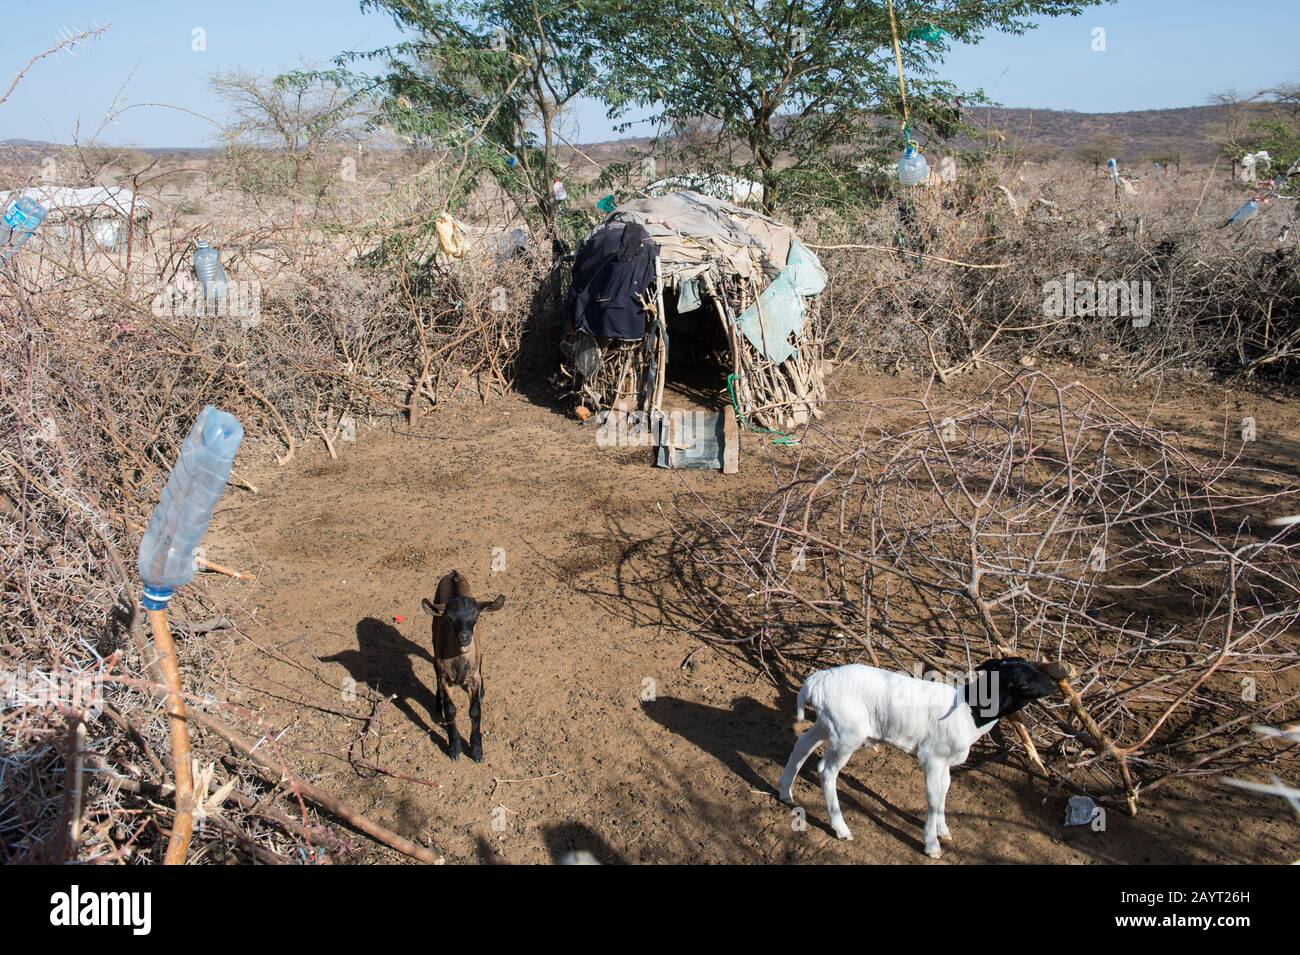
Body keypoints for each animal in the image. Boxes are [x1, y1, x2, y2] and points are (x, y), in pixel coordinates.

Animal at [774, 657, 1060, 857]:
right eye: (1026, 681)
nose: (1056, 681)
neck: (971, 712)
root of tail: (817, 681)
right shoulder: (932, 757)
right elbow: (933, 797)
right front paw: (932, 846)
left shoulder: (945, 761)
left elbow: (945, 790)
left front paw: (944, 832)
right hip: (847, 732)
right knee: (826, 770)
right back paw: (841, 828)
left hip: (827, 723)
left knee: (803, 743)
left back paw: (785, 793)